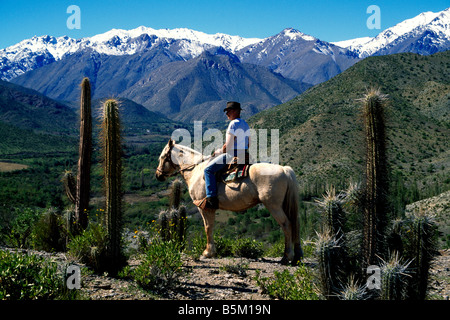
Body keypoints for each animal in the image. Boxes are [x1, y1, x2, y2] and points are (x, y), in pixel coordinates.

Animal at [155, 139, 302, 264]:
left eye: (162, 157)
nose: (158, 175)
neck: (195, 170)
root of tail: (284, 169)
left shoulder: (204, 207)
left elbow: (208, 227)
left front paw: (208, 252)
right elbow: (210, 227)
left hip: (274, 206)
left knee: (286, 224)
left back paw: (286, 257)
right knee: (295, 224)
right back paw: (297, 257)